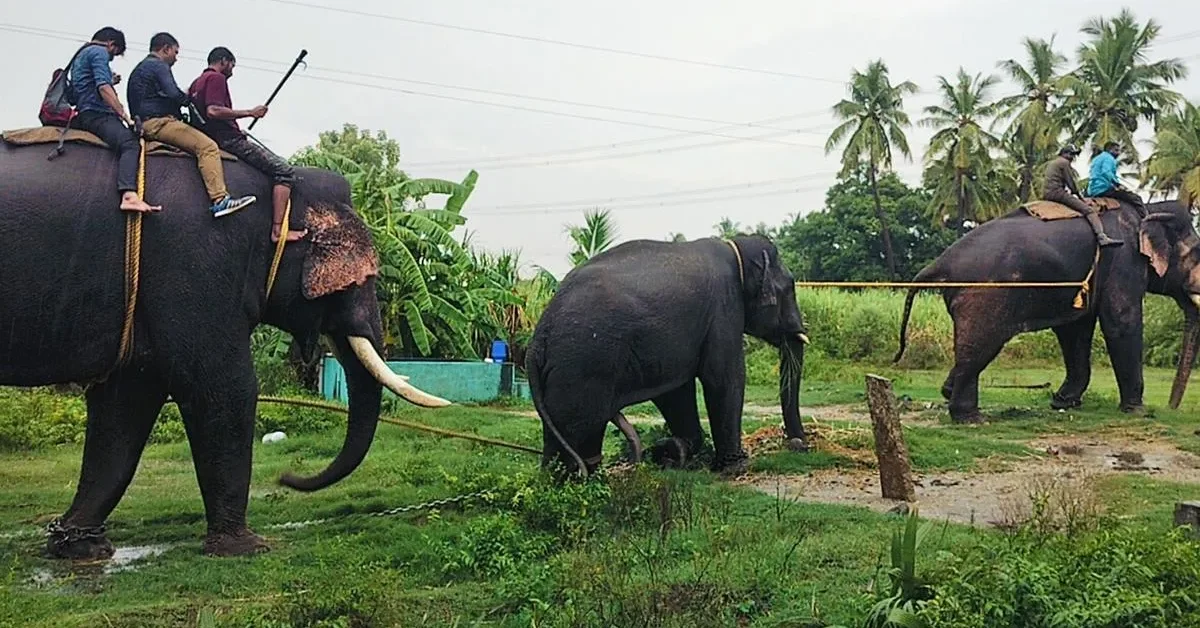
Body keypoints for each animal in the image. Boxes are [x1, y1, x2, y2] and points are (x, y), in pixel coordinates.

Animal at [0, 135, 450, 560]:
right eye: (360, 279)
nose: (286, 478)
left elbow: (126, 400)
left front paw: (80, 548)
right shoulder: (196, 261)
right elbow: (224, 386)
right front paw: (246, 547)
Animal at [525, 234, 810, 476]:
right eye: (790, 288)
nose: (799, 444)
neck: (735, 247)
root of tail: (538, 338)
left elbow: (675, 391)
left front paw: (673, 452)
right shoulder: (724, 309)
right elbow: (724, 377)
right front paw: (736, 467)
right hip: (583, 368)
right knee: (583, 428)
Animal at [894, 199, 1200, 423]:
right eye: (1197, 255)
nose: (1171, 408)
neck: (1148, 209)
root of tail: (940, 262)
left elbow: (1075, 328)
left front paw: (1063, 402)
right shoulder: (1124, 260)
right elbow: (1121, 321)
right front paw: (1138, 411)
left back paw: (949, 393)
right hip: (984, 295)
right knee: (980, 347)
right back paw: (972, 419)